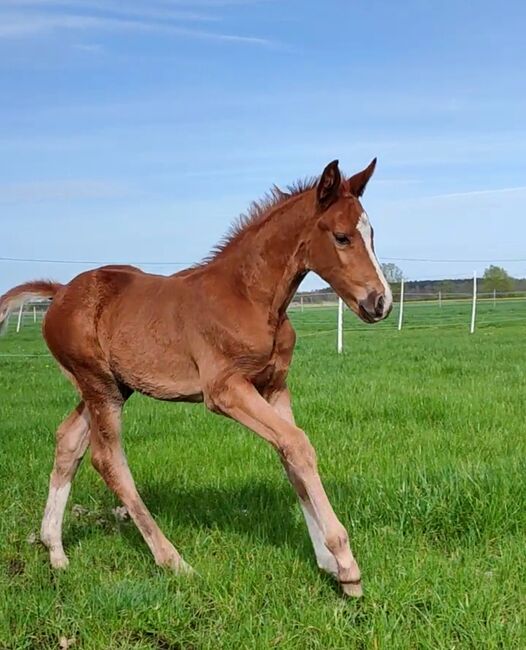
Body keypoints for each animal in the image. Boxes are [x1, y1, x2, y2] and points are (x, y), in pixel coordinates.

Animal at [0, 159, 394, 596]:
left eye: (372, 234)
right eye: (342, 237)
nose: (381, 302)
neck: (250, 297)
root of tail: (59, 292)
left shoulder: (274, 386)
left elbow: (290, 454)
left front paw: (327, 561)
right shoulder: (224, 390)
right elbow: (298, 444)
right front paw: (346, 565)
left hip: (109, 386)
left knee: (68, 441)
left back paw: (55, 551)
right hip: (100, 387)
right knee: (108, 460)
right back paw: (173, 561)